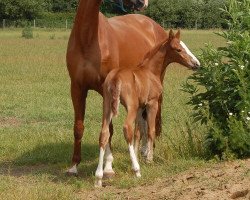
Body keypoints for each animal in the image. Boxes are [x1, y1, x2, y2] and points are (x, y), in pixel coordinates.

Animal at [66, 0, 168, 174]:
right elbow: (78, 127)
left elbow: (110, 128)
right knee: (142, 119)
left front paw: (108, 166)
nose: (144, 3)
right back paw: (142, 150)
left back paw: (148, 151)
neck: (87, 38)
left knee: (151, 118)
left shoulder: (106, 90)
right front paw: (74, 166)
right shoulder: (77, 88)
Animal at [94, 30, 200, 188]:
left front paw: (140, 155)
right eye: (178, 49)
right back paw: (136, 170)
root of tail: (115, 78)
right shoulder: (152, 103)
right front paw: (149, 159)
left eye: (184, 46)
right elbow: (150, 130)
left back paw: (99, 177)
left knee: (104, 133)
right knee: (127, 128)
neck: (150, 71)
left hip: (107, 106)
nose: (196, 64)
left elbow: (138, 132)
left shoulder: (140, 107)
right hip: (130, 107)